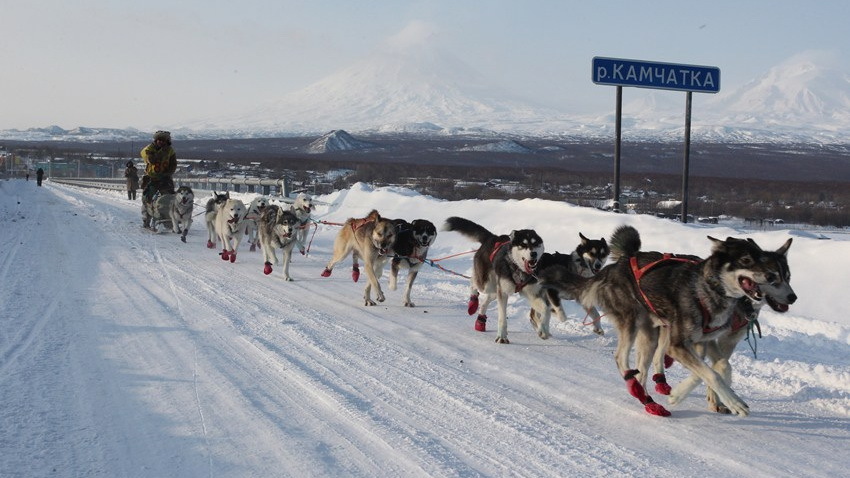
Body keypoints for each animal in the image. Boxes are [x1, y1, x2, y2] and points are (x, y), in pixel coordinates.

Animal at [540, 226, 784, 416]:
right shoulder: (680, 345)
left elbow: (718, 368)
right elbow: (712, 374)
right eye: (746, 260)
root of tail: (610, 269)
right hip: (631, 322)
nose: (772, 276)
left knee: (643, 369)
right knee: (621, 358)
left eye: (763, 259)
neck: (708, 289)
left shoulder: (703, 342)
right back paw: (636, 388)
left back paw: (648, 400)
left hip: (650, 336)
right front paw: (733, 402)